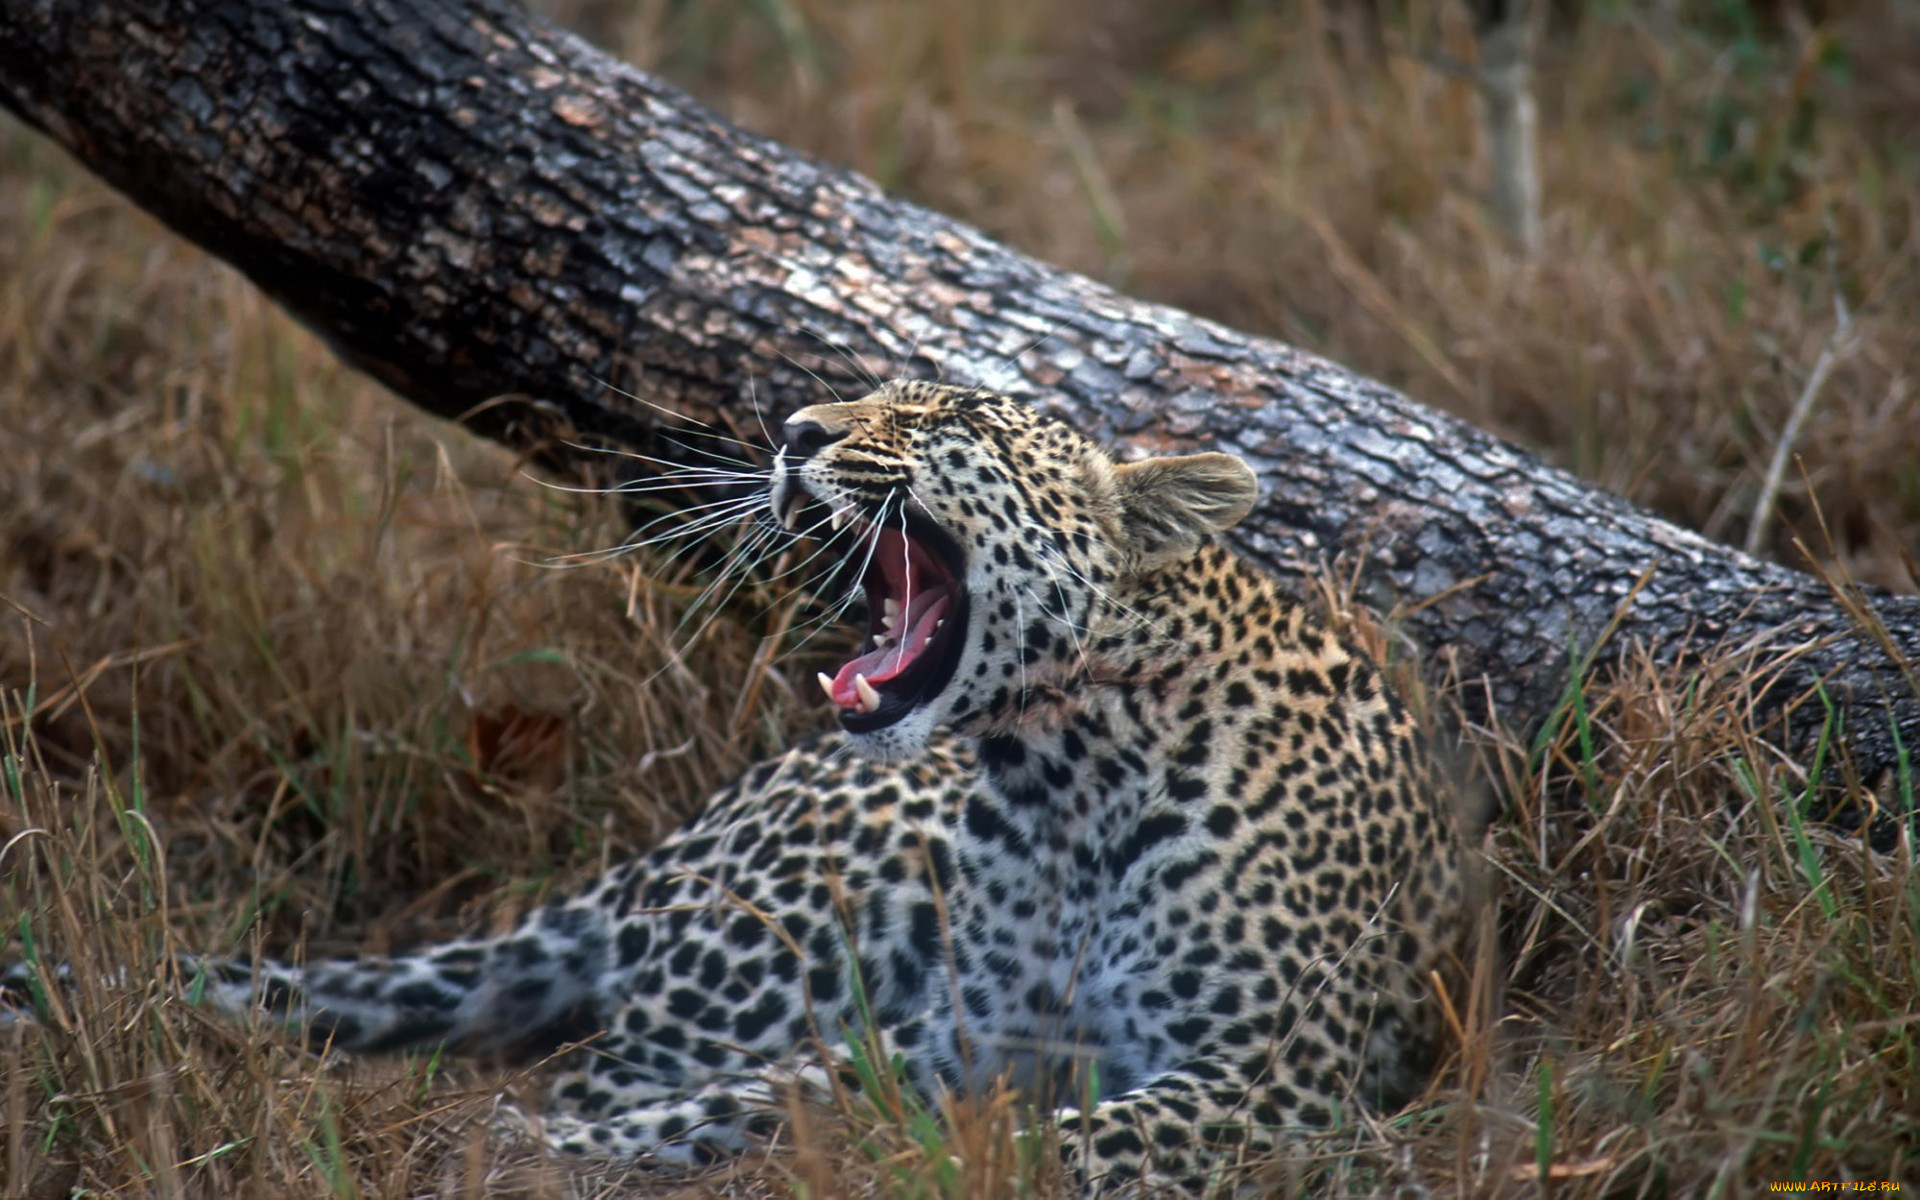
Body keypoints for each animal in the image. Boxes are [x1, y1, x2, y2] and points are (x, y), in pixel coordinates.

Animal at [3, 382, 1466, 1190]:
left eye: (950, 418)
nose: (793, 429)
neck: (1068, 784)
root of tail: (672, 842)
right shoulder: (967, 1033)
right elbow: (797, 1095)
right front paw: (562, 1153)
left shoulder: (1280, 1075)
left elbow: (1069, 1144)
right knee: (616, 1063)